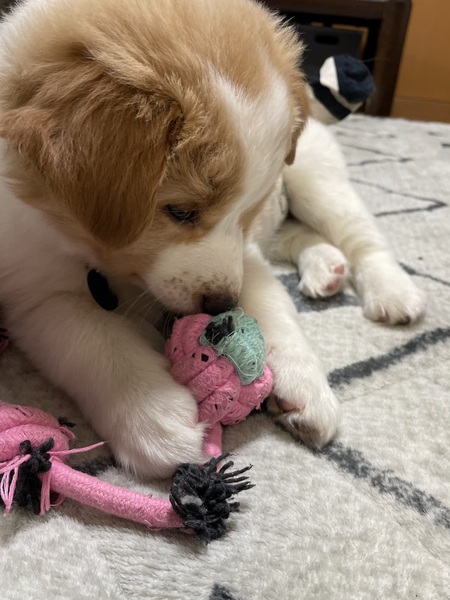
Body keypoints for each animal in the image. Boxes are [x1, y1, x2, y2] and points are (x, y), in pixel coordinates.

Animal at [0, 0, 425, 477]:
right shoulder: (35, 292)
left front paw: (305, 385)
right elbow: (94, 340)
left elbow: (274, 307)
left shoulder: (248, 252)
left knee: (361, 235)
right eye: (181, 211)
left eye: (247, 209)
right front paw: (158, 419)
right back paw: (325, 269)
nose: (223, 305)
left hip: (317, 176)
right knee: (299, 234)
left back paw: (393, 292)